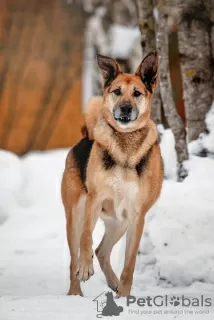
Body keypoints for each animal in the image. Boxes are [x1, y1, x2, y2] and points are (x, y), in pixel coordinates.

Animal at [61, 50, 164, 298]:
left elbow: (129, 264)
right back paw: (75, 292)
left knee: (102, 251)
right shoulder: (94, 199)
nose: (125, 108)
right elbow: (86, 238)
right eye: (117, 91)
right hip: (75, 214)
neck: (125, 144)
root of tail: (85, 137)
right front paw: (85, 268)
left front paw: (124, 296)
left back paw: (114, 284)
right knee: (74, 256)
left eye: (137, 93)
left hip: (120, 223)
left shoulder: (136, 216)